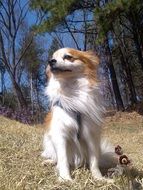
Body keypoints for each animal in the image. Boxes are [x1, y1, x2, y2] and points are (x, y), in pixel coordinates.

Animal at [41, 47, 117, 181]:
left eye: (68, 57)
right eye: (52, 57)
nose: (51, 61)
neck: (71, 90)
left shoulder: (90, 135)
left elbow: (94, 161)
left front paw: (99, 178)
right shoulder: (60, 135)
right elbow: (63, 159)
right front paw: (65, 178)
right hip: (48, 141)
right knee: (56, 158)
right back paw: (50, 162)